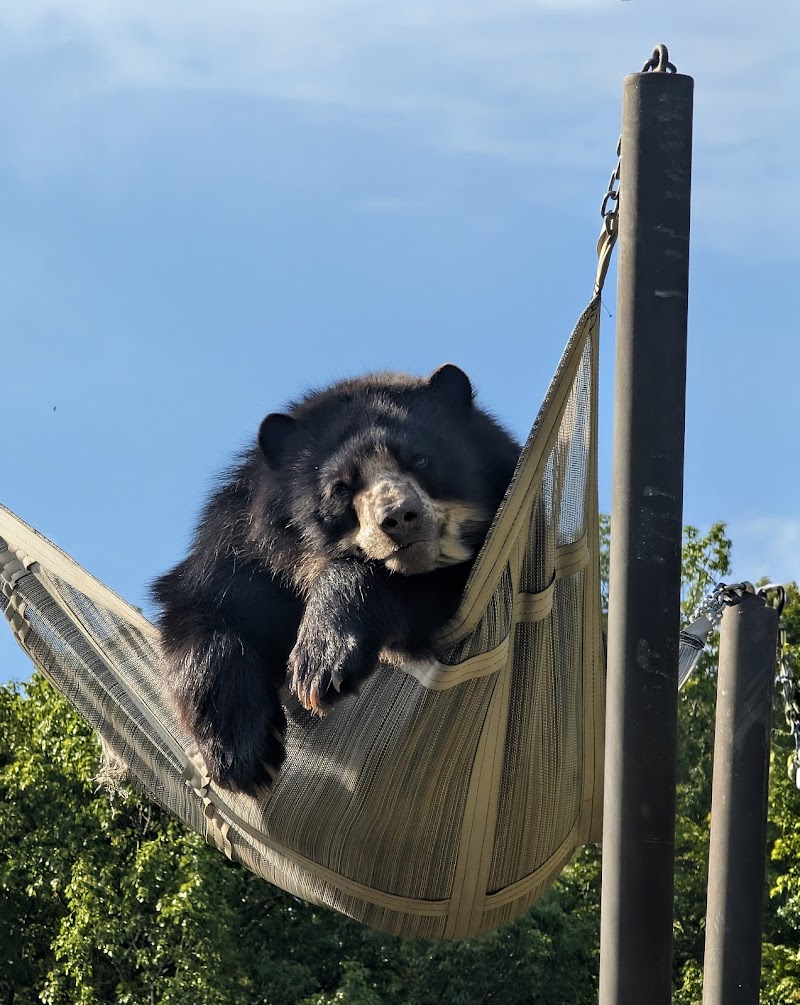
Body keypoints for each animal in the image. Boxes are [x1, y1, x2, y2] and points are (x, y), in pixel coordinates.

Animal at [152, 364, 520, 795]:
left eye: (421, 459)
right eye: (340, 487)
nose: (398, 517)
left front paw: (320, 667)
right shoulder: (239, 549)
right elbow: (203, 610)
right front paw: (245, 757)